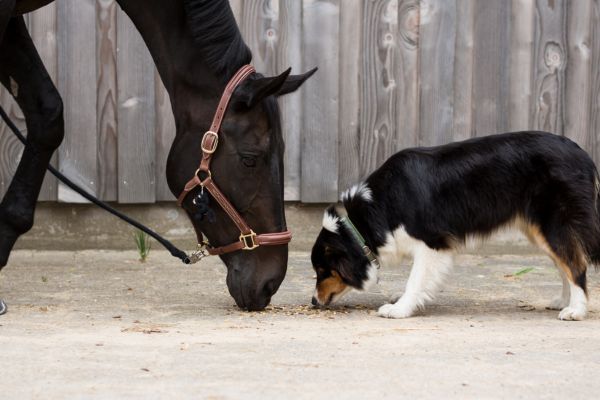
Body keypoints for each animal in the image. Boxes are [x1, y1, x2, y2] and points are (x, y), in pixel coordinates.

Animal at [310, 133, 600, 320]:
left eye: (323, 271)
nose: (313, 302)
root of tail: (584, 155)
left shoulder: (431, 244)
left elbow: (415, 280)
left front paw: (400, 309)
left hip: (554, 224)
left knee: (576, 265)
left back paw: (576, 310)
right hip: (540, 230)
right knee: (565, 263)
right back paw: (564, 302)